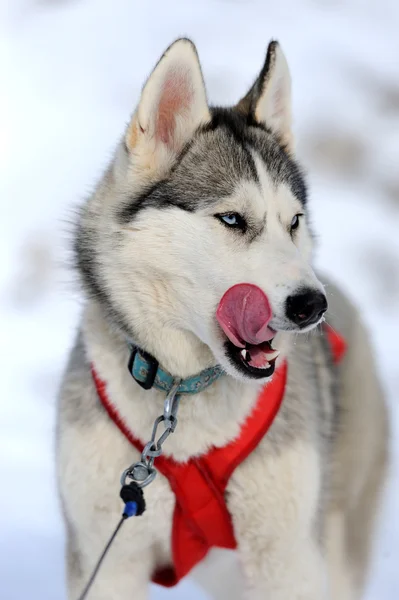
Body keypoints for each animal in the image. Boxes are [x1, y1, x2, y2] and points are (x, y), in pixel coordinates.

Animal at [57, 39, 390, 596]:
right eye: (232, 219)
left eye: (293, 221)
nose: (311, 305)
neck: (181, 395)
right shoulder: (108, 556)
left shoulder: (287, 562)